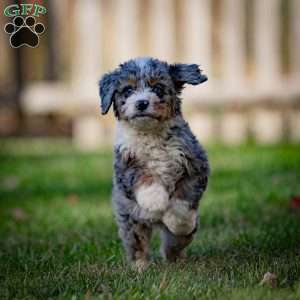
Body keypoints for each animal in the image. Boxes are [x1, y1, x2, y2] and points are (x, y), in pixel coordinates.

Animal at [98, 57, 209, 270]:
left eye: (157, 88)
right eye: (128, 90)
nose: (142, 103)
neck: (150, 133)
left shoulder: (196, 165)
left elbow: (183, 200)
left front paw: (177, 220)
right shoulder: (125, 166)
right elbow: (143, 177)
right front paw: (155, 200)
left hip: (180, 236)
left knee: (174, 243)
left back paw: (176, 259)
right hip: (130, 220)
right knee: (138, 244)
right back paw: (140, 267)